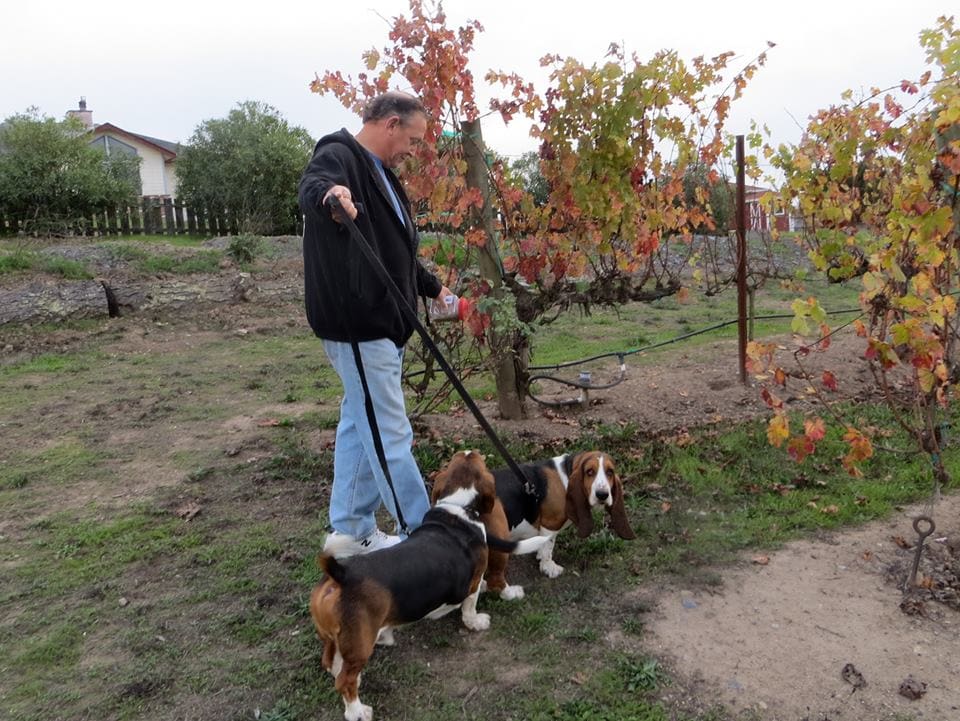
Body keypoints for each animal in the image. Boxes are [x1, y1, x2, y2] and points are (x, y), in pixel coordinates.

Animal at [312, 450, 544, 720]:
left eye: (460, 459)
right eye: (478, 461)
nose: (470, 451)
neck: (456, 505)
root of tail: (341, 575)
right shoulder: (474, 580)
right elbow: (472, 606)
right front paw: (478, 621)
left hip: (333, 638)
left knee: (331, 663)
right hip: (360, 644)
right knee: (344, 681)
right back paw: (358, 710)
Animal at [484, 452, 632, 600]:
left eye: (610, 472)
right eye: (589, 471)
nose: (602, 495)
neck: (567, 473)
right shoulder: (550, 524)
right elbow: (548, 548)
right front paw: (549, 568)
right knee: (495, 580)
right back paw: (512, 594)